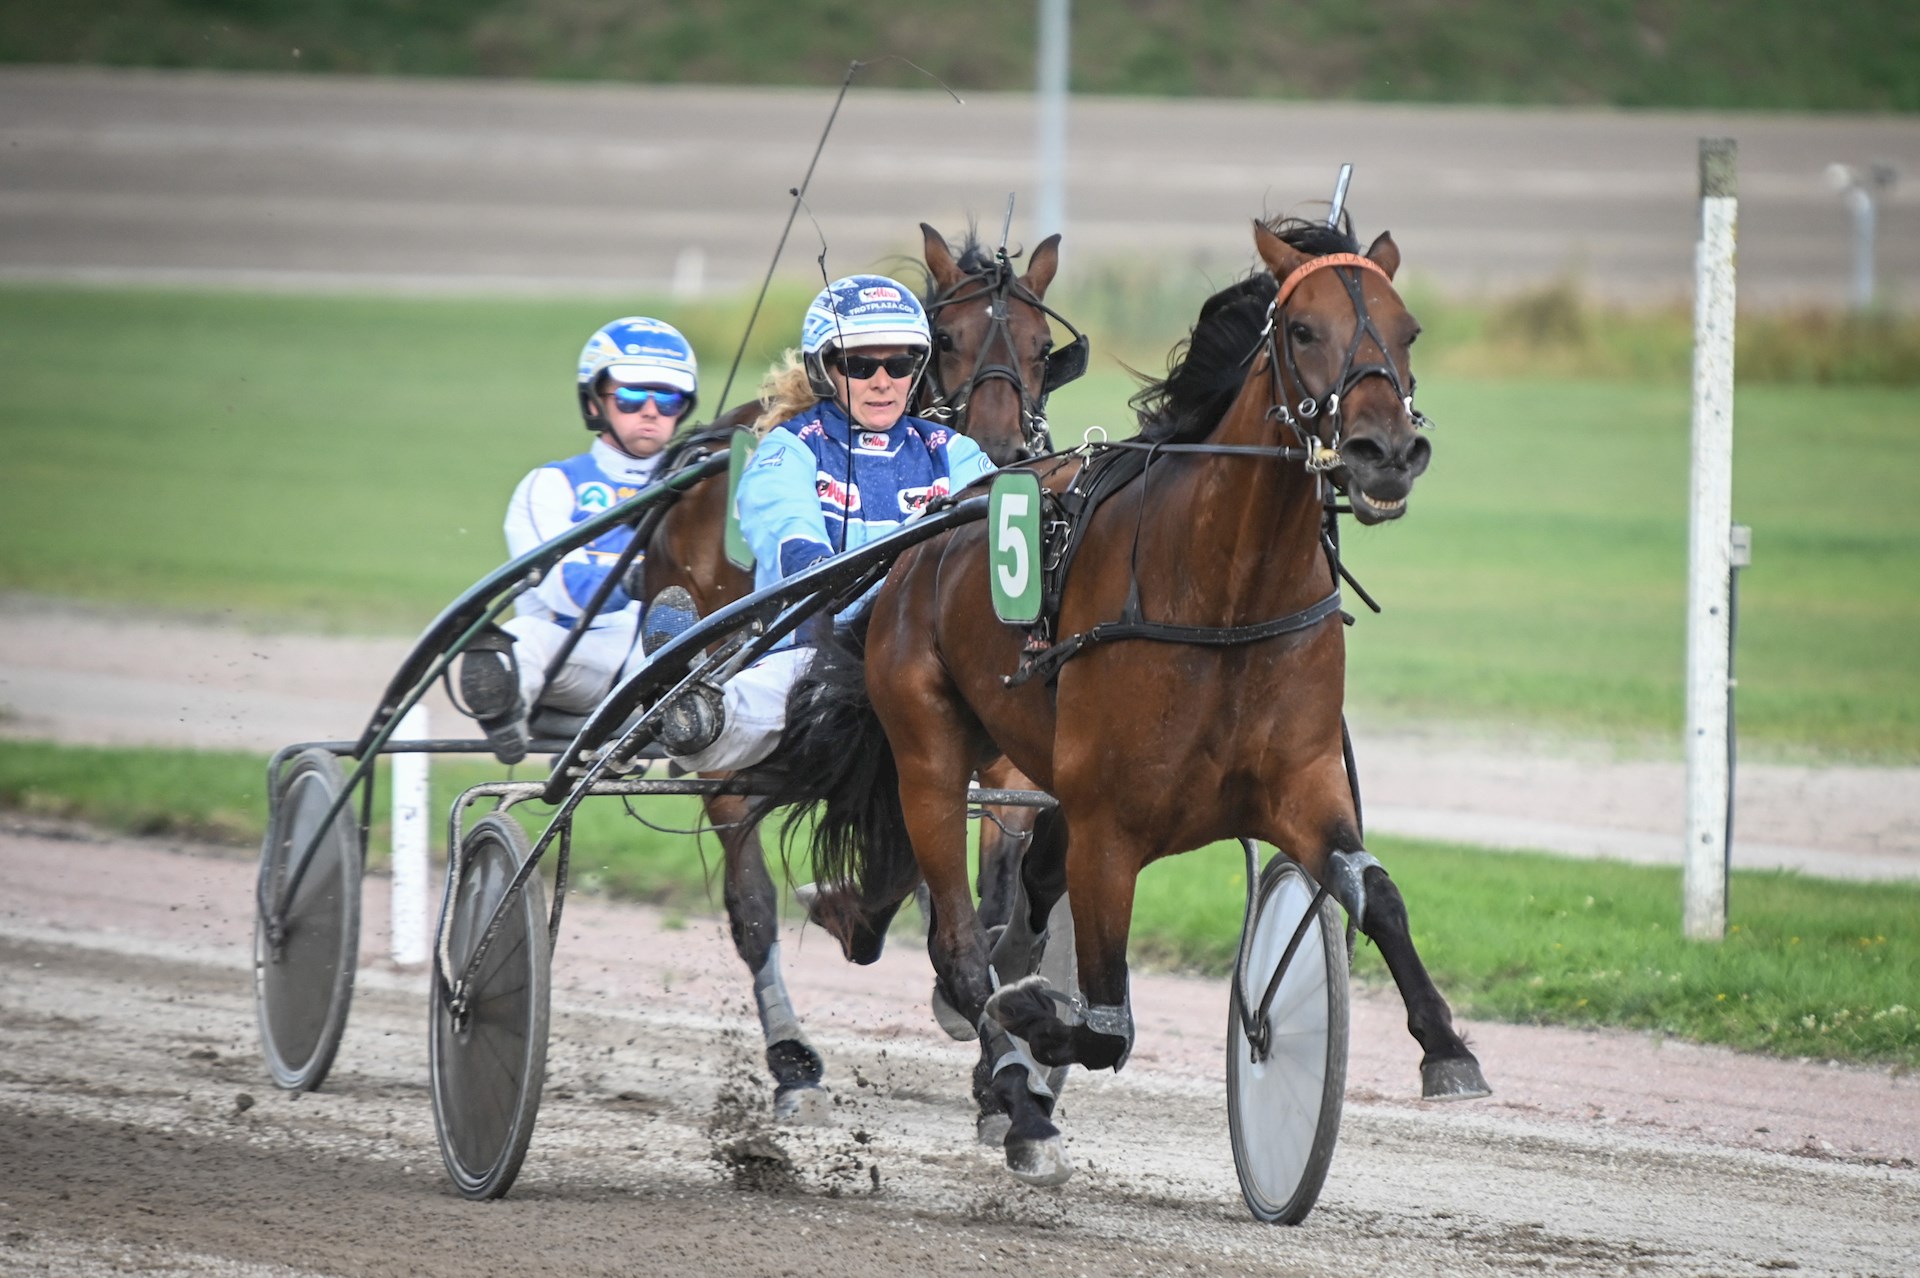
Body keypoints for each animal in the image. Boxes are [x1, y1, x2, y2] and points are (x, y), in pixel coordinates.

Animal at [635, 223, 1082, 1121]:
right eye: (949, 338)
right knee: (749, 898)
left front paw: (999, 1028)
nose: (1006, 455)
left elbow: (999, 886)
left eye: (1041, 347)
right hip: (729, 719)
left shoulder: (999, 747)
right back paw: (792, 1058)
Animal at [762, 213, 1489, 1185]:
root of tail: (932, 528)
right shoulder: (1110, 827)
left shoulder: (1301, 785)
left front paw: (1446, 1046)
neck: (1225, 597)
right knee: (957, 948)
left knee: (1018, 889)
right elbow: (1105, 1025)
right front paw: (1030, 1029)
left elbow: (1377, 893)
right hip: (927, 747)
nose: (1388, 453)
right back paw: (1016, 1094)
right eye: (1303, 331)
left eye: (1408, 332)